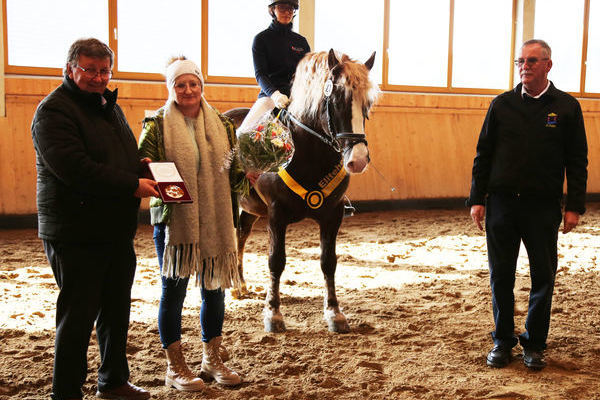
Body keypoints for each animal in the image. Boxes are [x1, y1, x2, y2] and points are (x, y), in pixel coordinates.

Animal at [226, 48, 380, 332]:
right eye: (337, 101)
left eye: (367, 105)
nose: (358, 160)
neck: (310, 154)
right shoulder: (276, 215)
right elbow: (276, 260)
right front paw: (273, 314)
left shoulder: (333, 214)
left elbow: (328, 262)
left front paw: (334, 313)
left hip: (251, 208)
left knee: (241, 234)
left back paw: (240, 285)